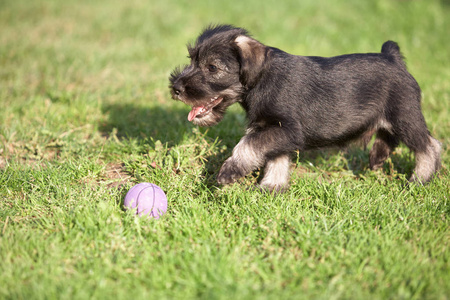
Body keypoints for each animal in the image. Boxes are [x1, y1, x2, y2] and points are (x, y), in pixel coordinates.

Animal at [171, 24, 442, 191]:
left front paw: (230, 170)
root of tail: (393, 57)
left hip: (404, 116)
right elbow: (276, 157)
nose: (175, 87)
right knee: (389, 136)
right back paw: (377, 158)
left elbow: (249, 145)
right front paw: (272, 188)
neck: (262, 79)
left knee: (429, 146)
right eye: (191, 59)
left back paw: (419, 180)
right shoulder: (273, 130)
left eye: (212, 67)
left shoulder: (285, 129)